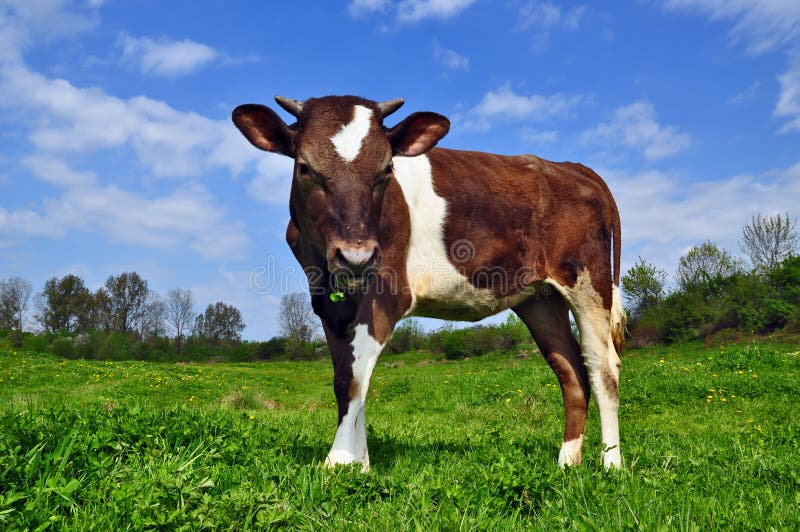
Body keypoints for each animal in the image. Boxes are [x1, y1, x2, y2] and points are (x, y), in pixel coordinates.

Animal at [231, 94, 624, 470]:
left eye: (386, 169)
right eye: (305, 167)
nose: (357, 257)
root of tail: (573, 168)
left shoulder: (387, 293)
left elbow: (356, 379)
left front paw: (338, 462)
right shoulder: (327, 305)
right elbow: (346, 378)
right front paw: (360, 464)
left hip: (589, 283)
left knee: (602, 368)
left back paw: (611, 463)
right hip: (540, 298)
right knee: (571, 371)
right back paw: (567, 462)